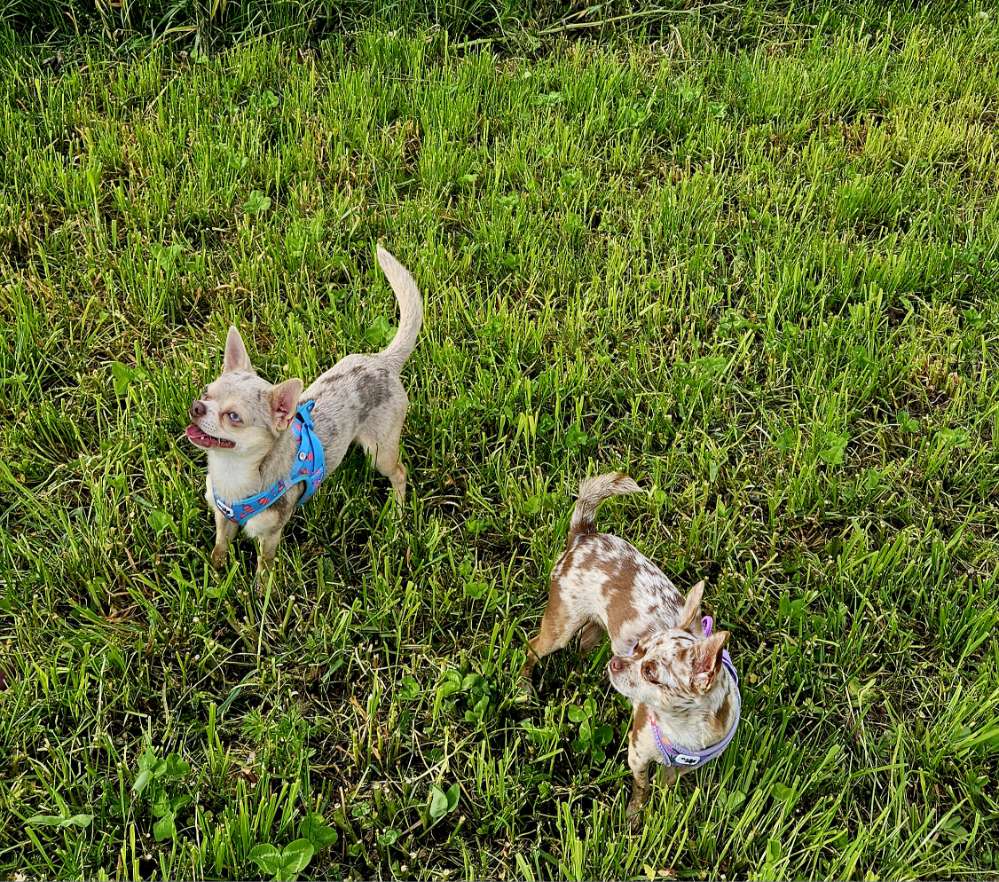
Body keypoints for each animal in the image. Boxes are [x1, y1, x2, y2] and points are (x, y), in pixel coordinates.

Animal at [186, 246, 420, 576]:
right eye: (206, 393)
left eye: (233, 417)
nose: (197, 406)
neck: (231, 472)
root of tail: (383, 361)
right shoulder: (223, 518)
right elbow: (220, 545)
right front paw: (216, 571)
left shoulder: (270, 534)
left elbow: (265, 566)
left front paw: (260, 587)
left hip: (380, 452)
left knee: (399, 473)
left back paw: (397, 516)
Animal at [524, 470, 744, 820]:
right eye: (638, 646)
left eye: (651, 672)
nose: (617, 663)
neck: (681, 731)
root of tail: (585, 535)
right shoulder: (637, 754)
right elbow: (641, 786)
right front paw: (634, 817)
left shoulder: (681, 768)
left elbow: (665, 785)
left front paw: (660, 810)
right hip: (560, 625)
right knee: (532, 648)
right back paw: (524, 686)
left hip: (595, 626)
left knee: (585, 642)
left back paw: (583, 674)